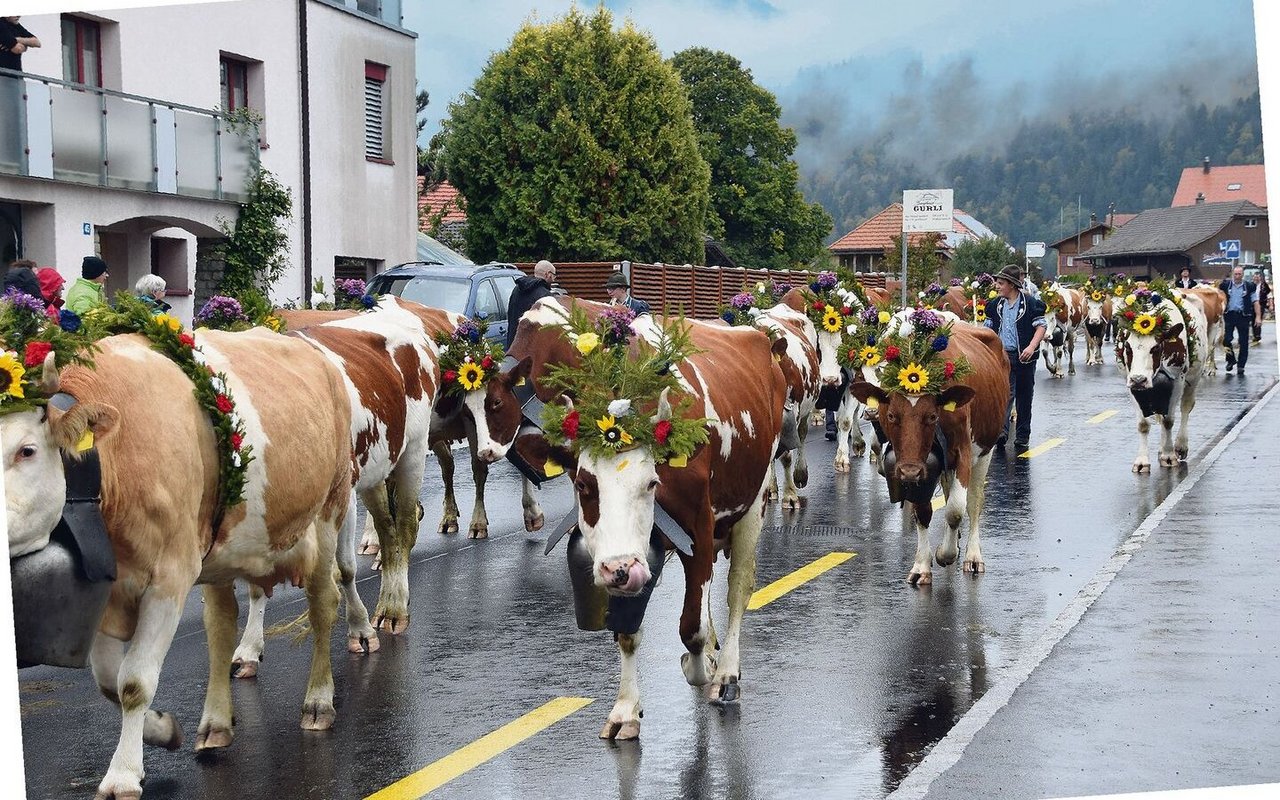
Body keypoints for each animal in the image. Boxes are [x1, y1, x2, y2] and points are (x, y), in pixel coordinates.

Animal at [2, 330, 363, 798]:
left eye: (26, 451)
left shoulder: (169, 578)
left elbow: (134, 683)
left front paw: (122, 775)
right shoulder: (109, 586)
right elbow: (108, 683)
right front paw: (161, 730)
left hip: (328, 512)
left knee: (324, 604)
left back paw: (318, 700)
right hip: (223, 552)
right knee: (222, 625)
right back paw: (215, 723)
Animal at [509, 296, 788, 737]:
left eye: (652, 482)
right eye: (583, 485)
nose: (620, 568)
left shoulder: (698, 528)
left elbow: (691, 625)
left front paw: (699, 667)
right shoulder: (633, 549)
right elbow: (629, 630)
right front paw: (625, 709)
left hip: (754, 502)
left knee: (737, 588)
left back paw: (725, 672)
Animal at [849, 320, 1008, 586]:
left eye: (932, 416)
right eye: (891, 415)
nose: (910, 472)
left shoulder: (962, 451)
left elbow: (955, 509)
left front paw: (945, 554)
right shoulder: (914, 464)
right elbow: (923, 512)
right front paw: (922, 565)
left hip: (986, 449)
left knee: (974, 502)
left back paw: (972, 555)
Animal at [1116, 291, 1203, 468]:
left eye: (1155, 347)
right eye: (1127, 346)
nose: (1139, 379)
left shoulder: (1177, 381)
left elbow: (1169, 420)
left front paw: (1169, 455)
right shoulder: (1130, 384)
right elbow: (1143, 424)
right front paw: (1142, 461)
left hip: (1194, 379)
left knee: (1185, 408)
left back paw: (1180, 446)